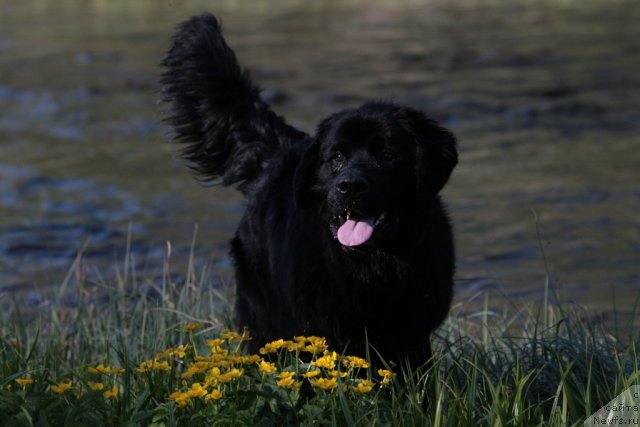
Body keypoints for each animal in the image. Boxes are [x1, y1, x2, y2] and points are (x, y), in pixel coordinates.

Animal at [162, 13, 458, 368]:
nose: (349, 185)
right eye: (337, 157)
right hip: (262, 313)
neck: (370, 267)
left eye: (387, 155)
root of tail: (282, 150)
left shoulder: (413, 330)